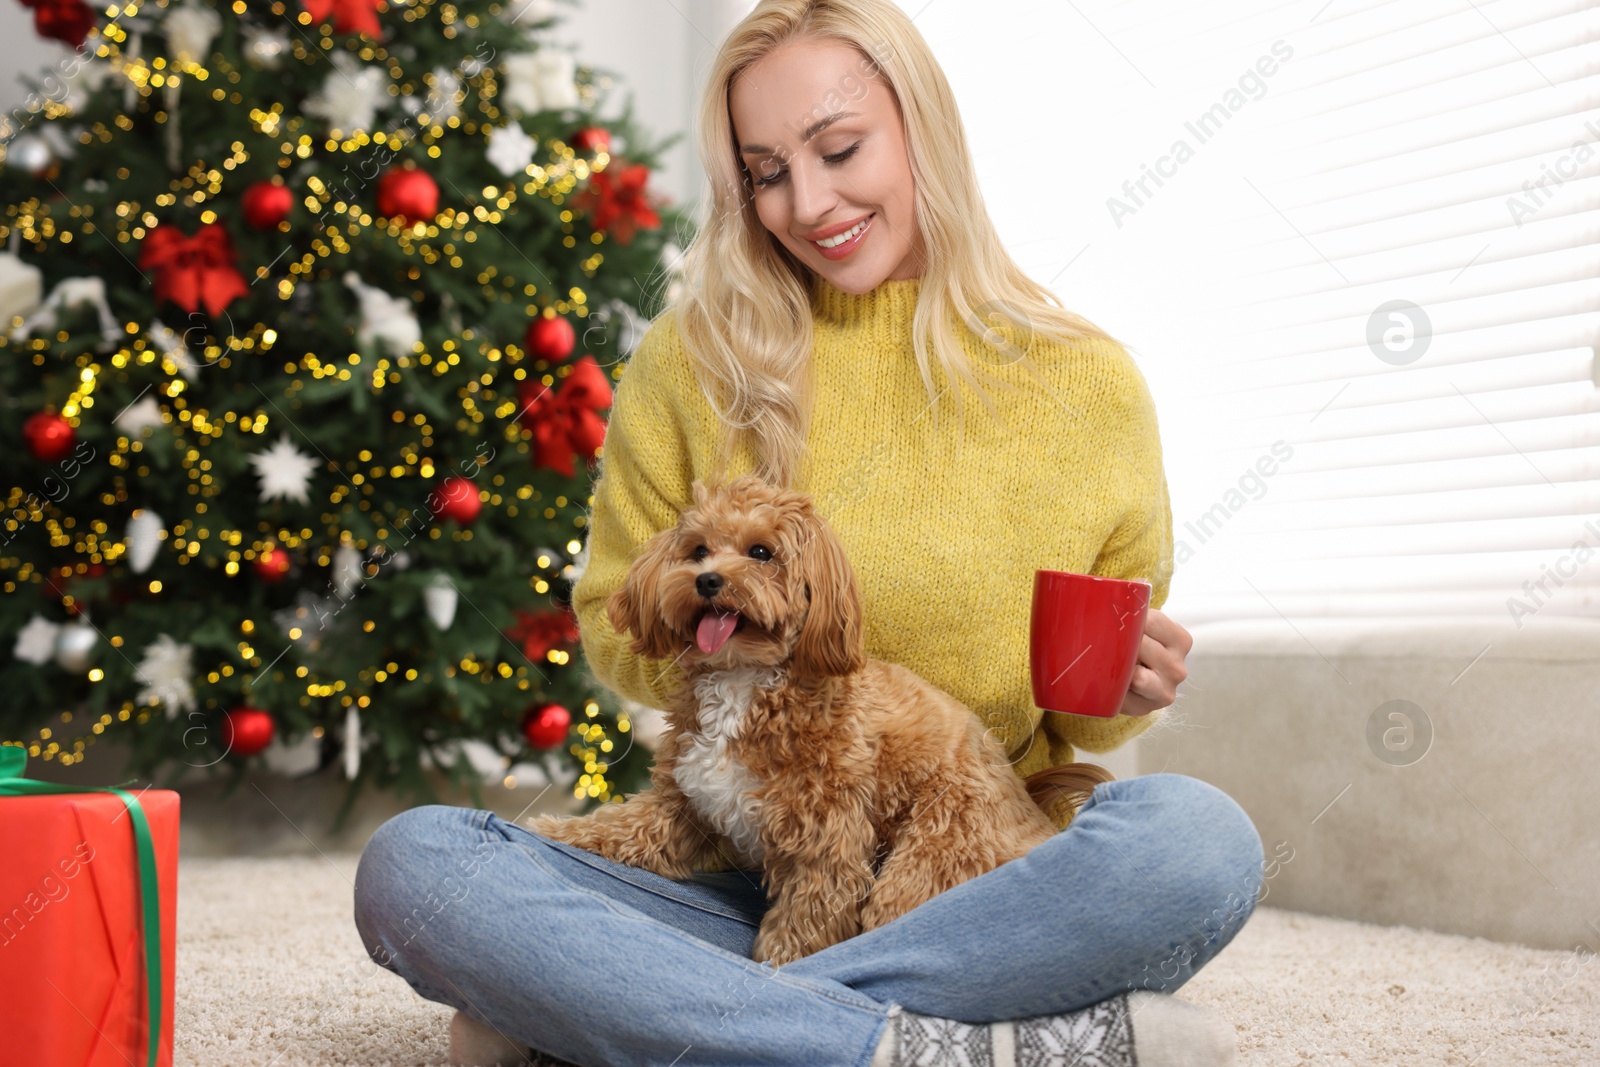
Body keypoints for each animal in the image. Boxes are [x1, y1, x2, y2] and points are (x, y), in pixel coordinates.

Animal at [528, 476, 1113, 966]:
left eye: (761, 552)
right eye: (697, 551)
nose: (708, 580)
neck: (744, 679)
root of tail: (1032, 811)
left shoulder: (827, 839)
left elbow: (807, 921)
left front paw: (780, 969)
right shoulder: (684, 804)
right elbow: (625, 827)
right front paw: (557, 830)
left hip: (934, 849)